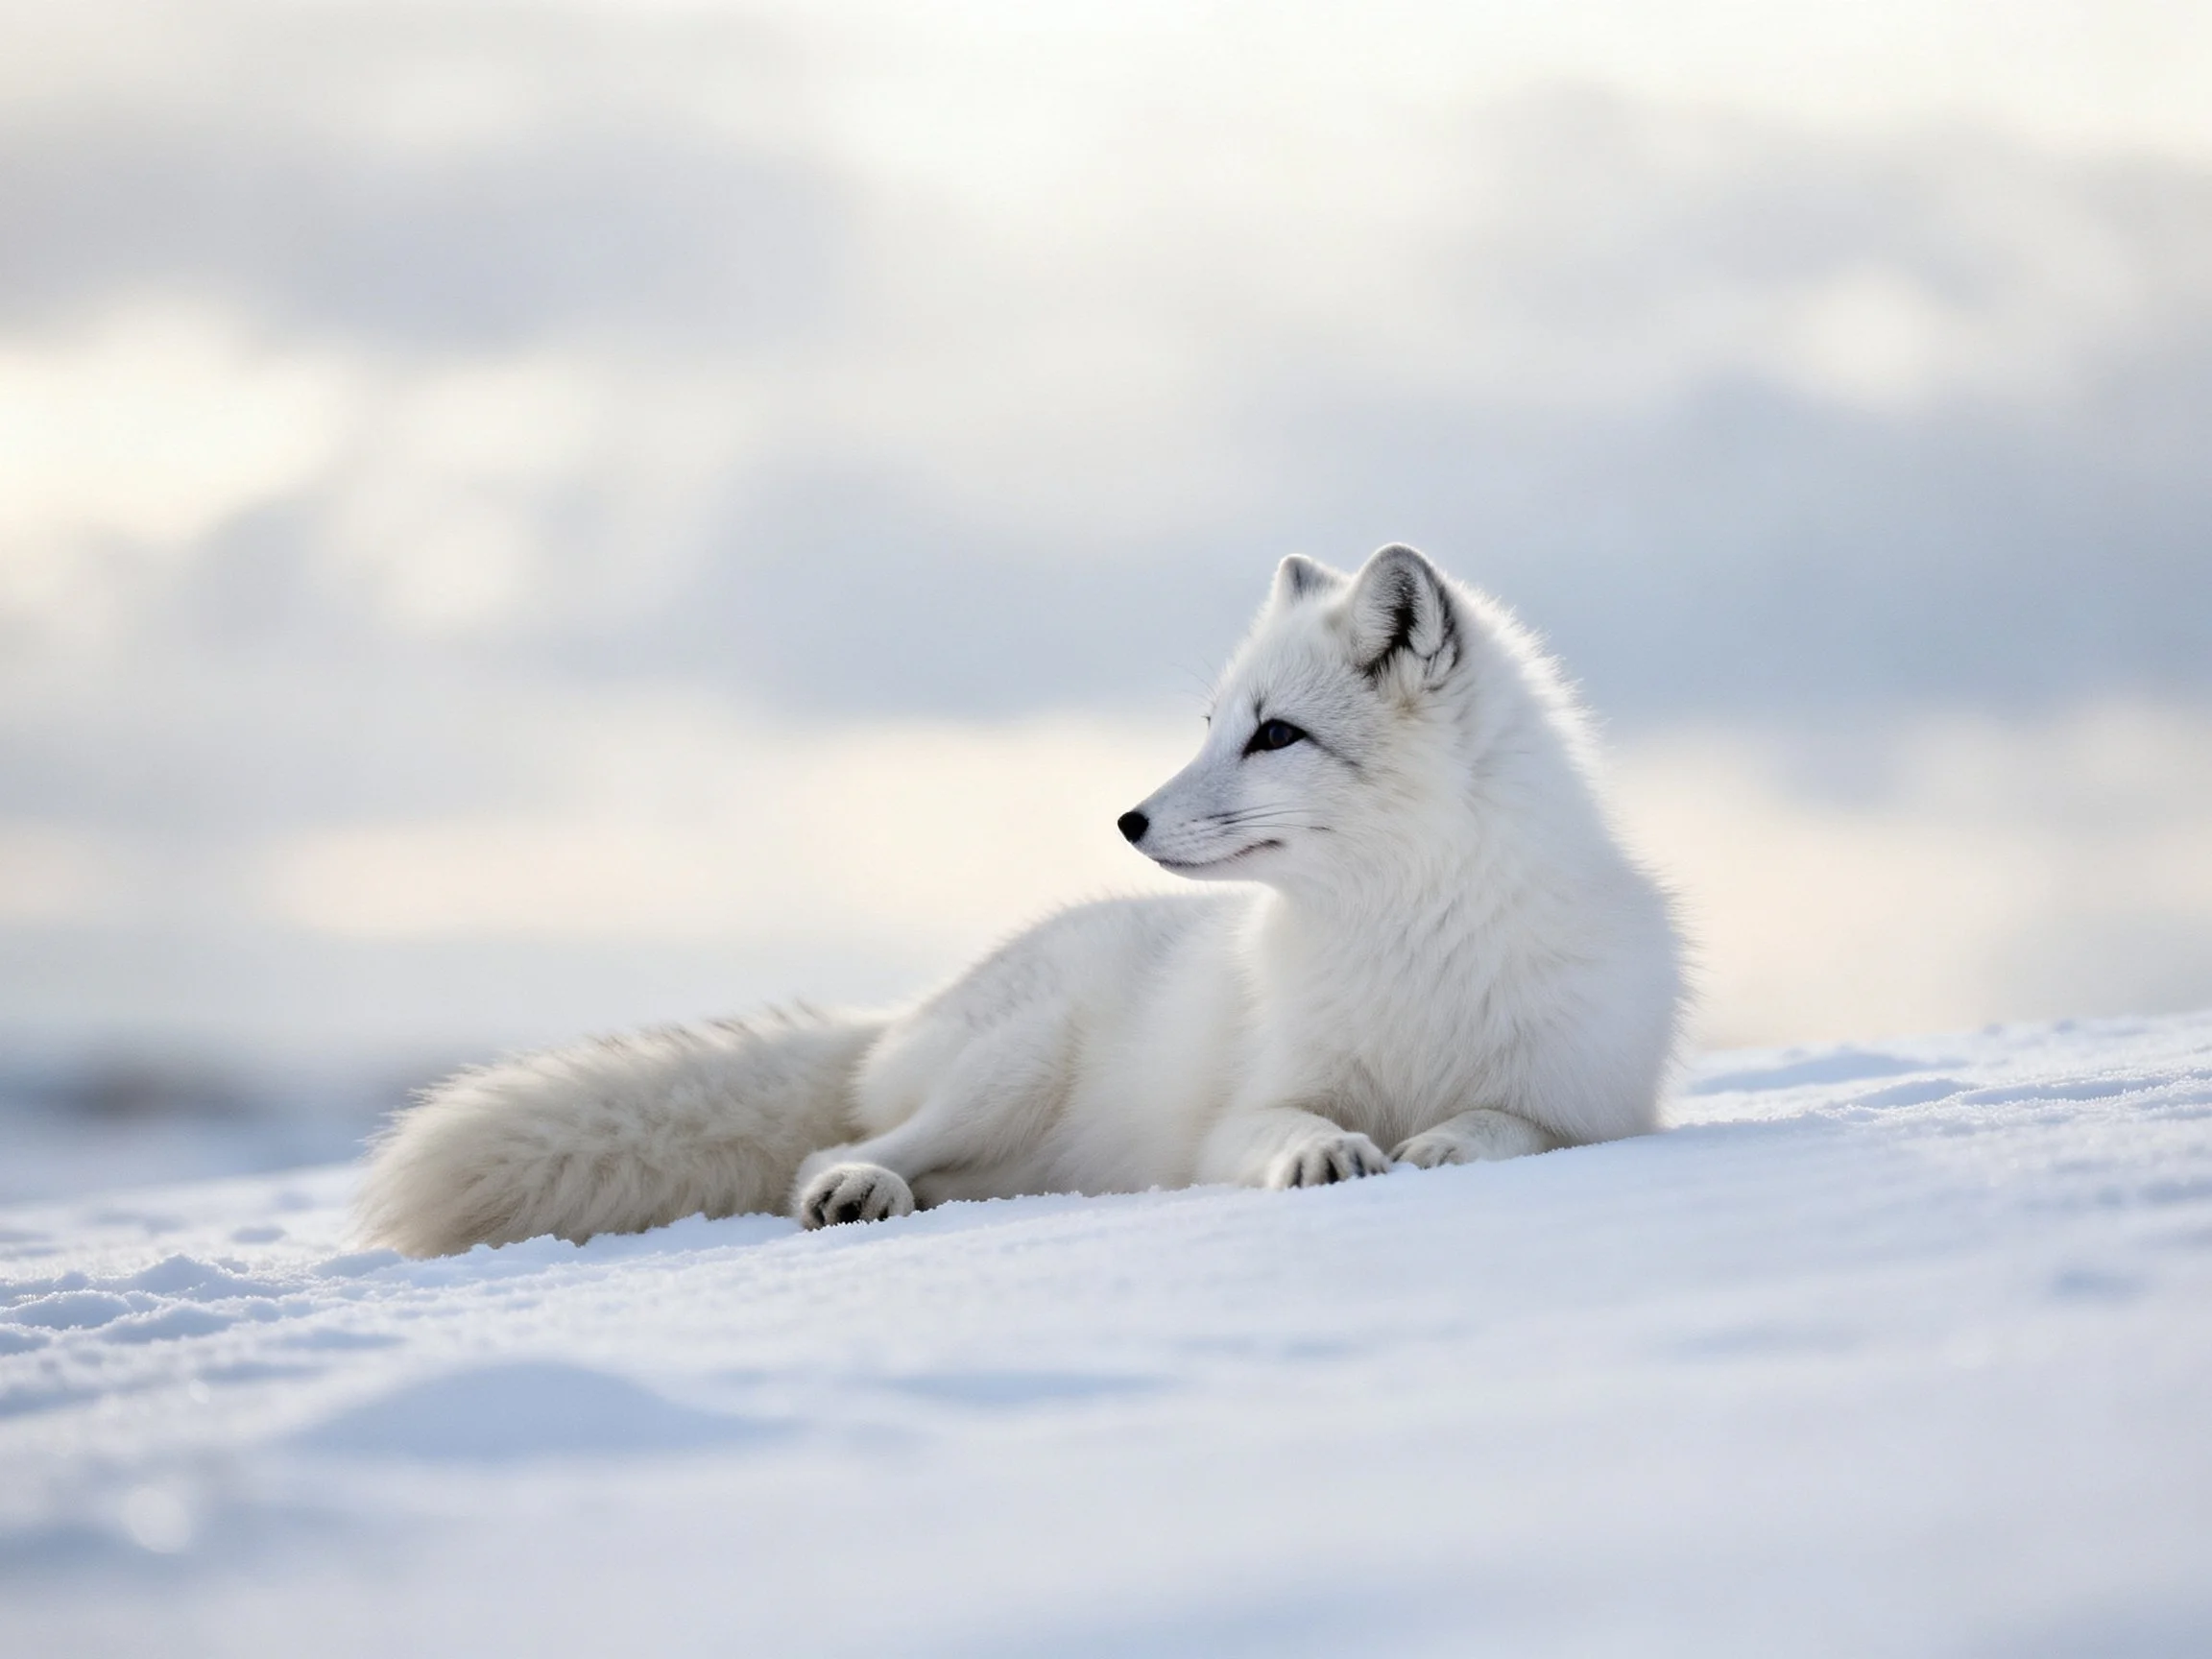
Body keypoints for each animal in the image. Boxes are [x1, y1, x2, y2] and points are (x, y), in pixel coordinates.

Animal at [356, 545, 1685, 1256]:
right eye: (1213, 723)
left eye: (1276, 735)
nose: (1128, 820)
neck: (1407, 928)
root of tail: (897, 1020)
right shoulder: (1240, 1113)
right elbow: (1288, 1126)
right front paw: (1328, 1153)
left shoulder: (1600, 1106)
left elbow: (1514, 1127)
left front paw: (1447, 1141)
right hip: (1011, 1067)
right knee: (839, 1146)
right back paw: (857, 1193)